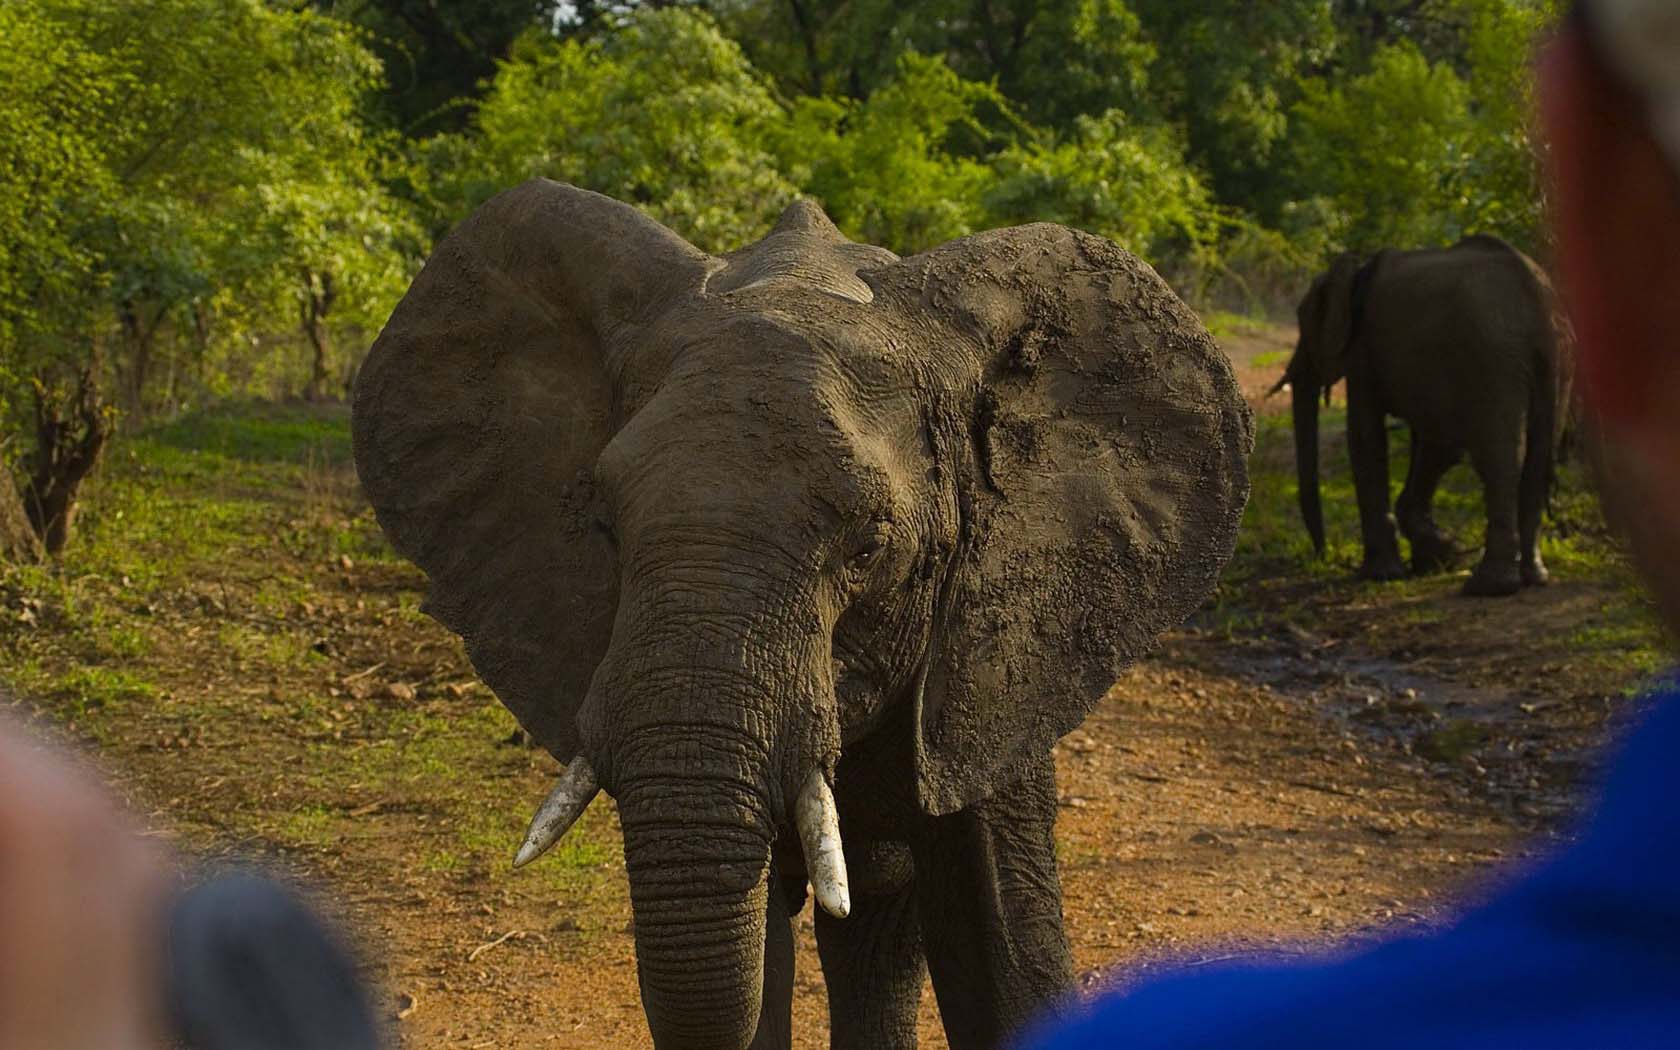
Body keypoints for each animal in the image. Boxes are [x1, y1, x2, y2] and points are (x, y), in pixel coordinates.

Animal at [1276, 236, 1565, 598]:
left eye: (1303, 320)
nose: (1322, 554)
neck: (1355, 270)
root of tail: (1536, 296)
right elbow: (1438, 446)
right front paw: (1442, 557)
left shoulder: (1364, 349)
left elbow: (1365, 438)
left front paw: (1382, 574)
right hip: (1555, 362)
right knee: (1539, 455)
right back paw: (1533, 577)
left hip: (1492, 358)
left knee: (1497, 459)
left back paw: (1488, 586)